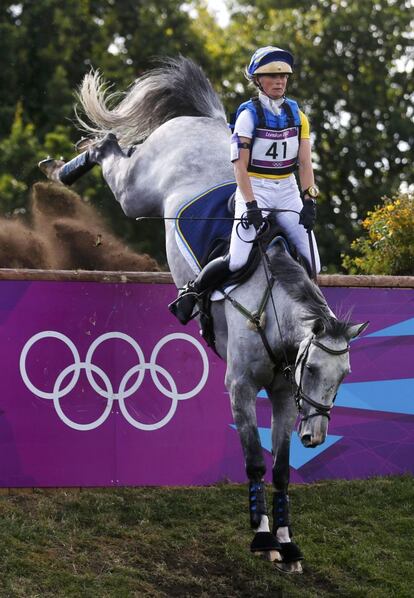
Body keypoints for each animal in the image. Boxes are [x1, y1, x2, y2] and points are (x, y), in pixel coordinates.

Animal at [39, 57, 368, 576]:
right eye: (314, 368)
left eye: (345, 374)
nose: (316, 436)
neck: (272, 314)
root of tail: (210, 121)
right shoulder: (240, 387)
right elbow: (254, 461)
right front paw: (263, 540)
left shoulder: (284, 396)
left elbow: (280, 468)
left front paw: (288, 544)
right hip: (138, 190)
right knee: (113, 151)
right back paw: (62, 169)